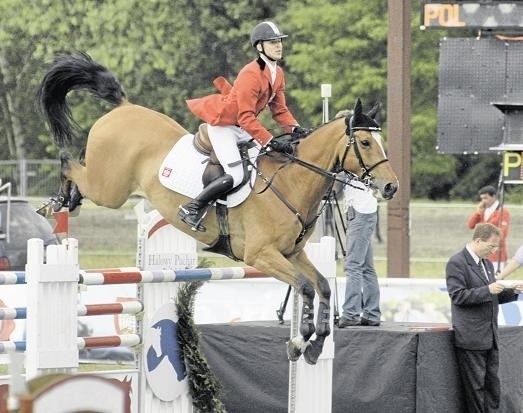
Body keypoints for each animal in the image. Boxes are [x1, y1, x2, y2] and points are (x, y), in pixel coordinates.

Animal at [36, 51, 400, 364]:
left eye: (381, 142)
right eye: (365, 142)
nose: (391, 187)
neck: (291, 181)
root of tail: (125, 108)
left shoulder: (293, 254)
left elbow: (321, 286)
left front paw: (316, 345)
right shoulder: (261, 255)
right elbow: (306, 287)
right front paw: (300, 342)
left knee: (78, 163)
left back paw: (68, 199)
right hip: (109, 189)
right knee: (69, 162)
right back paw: (58, 202)